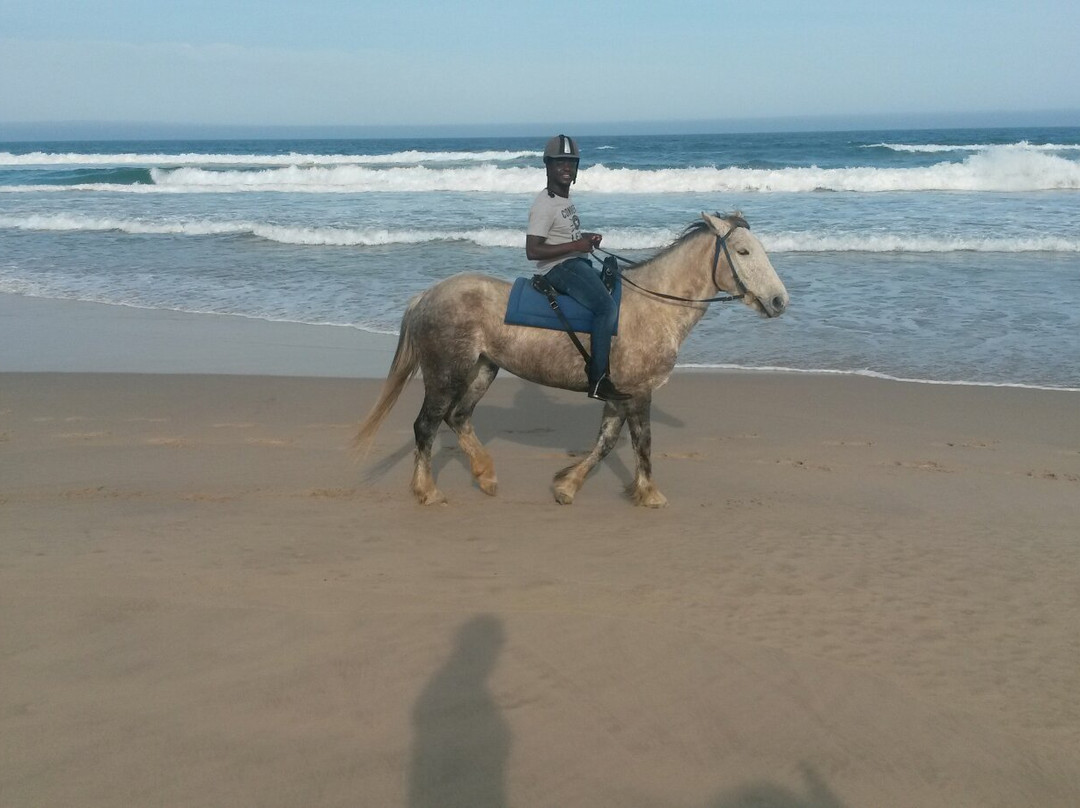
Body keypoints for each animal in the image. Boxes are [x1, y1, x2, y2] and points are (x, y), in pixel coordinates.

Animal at [355, 212, 789, 507]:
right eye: (743, 250)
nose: (779, 301)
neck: (652, 306)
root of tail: (426, 295)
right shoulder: (638, 393)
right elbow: (642, 441)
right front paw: (650, 494)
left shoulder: (618, 393)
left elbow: (605, 443)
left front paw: (567, 486)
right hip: (446, 374)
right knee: (426, 425)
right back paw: (427, 491)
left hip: (482, 369)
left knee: (458, 418)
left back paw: (486, 476)